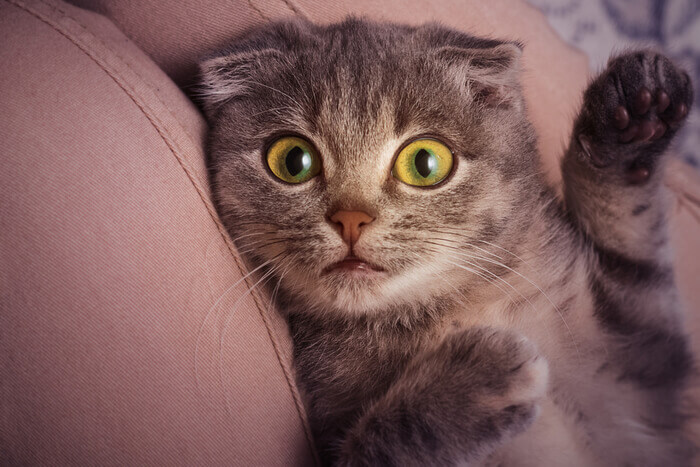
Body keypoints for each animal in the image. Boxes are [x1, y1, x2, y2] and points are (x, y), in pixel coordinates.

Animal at [197, 18, 696, 467]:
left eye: (424, 162)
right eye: (293, 160)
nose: (351, 219)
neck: (443, 312)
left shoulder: (639, 376)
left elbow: (631, 242)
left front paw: (634, 121)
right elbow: (380, 441)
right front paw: (466, 386)